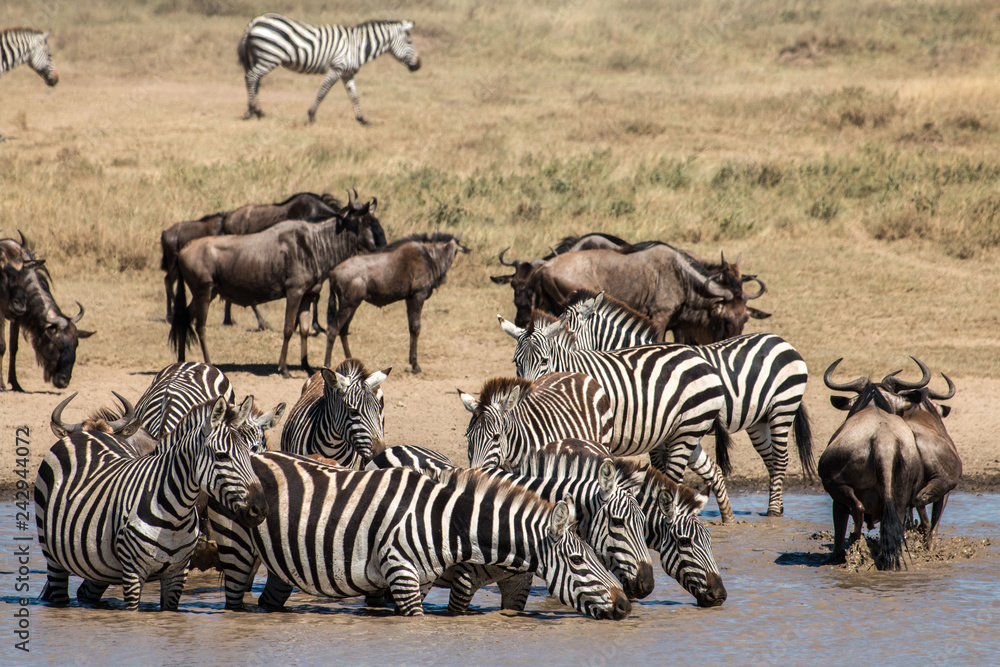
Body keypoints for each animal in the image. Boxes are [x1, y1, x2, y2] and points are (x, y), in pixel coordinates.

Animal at [222, 452, 631, 618]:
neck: (448, 522)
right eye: (578, 560)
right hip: (237, 546)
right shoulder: (406, 575)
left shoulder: (420, 580)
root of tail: (254, 453)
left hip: (281, 561)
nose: (626, 605)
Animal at [237, 13, 420, 124]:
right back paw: (252, 110)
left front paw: (362, 119)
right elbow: (323, 91)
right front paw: (311, 116)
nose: (418, 65)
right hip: (269, 57)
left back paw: (257, 112)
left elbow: (354, 96)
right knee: (251, 77)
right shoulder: (336, 68)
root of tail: (256, 20)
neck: (357, 46)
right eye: (410, 42)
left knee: (256, 81)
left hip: (261, 58)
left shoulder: (347, 73)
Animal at [498, 312, 735, 522]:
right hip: (683, 431)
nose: (527, 393)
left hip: (687, 430)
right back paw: (728, 520)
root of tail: (701, 359)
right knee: (713, 470)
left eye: (544, 361)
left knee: (674, 479)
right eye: (516, 362)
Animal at [558, 290, 815, 516]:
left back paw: (773, 512)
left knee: (780, 459)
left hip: (783, 407)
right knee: (771, 460)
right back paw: (778, 504)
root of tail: (780, 340)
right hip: (758, 420)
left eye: (566, 331)